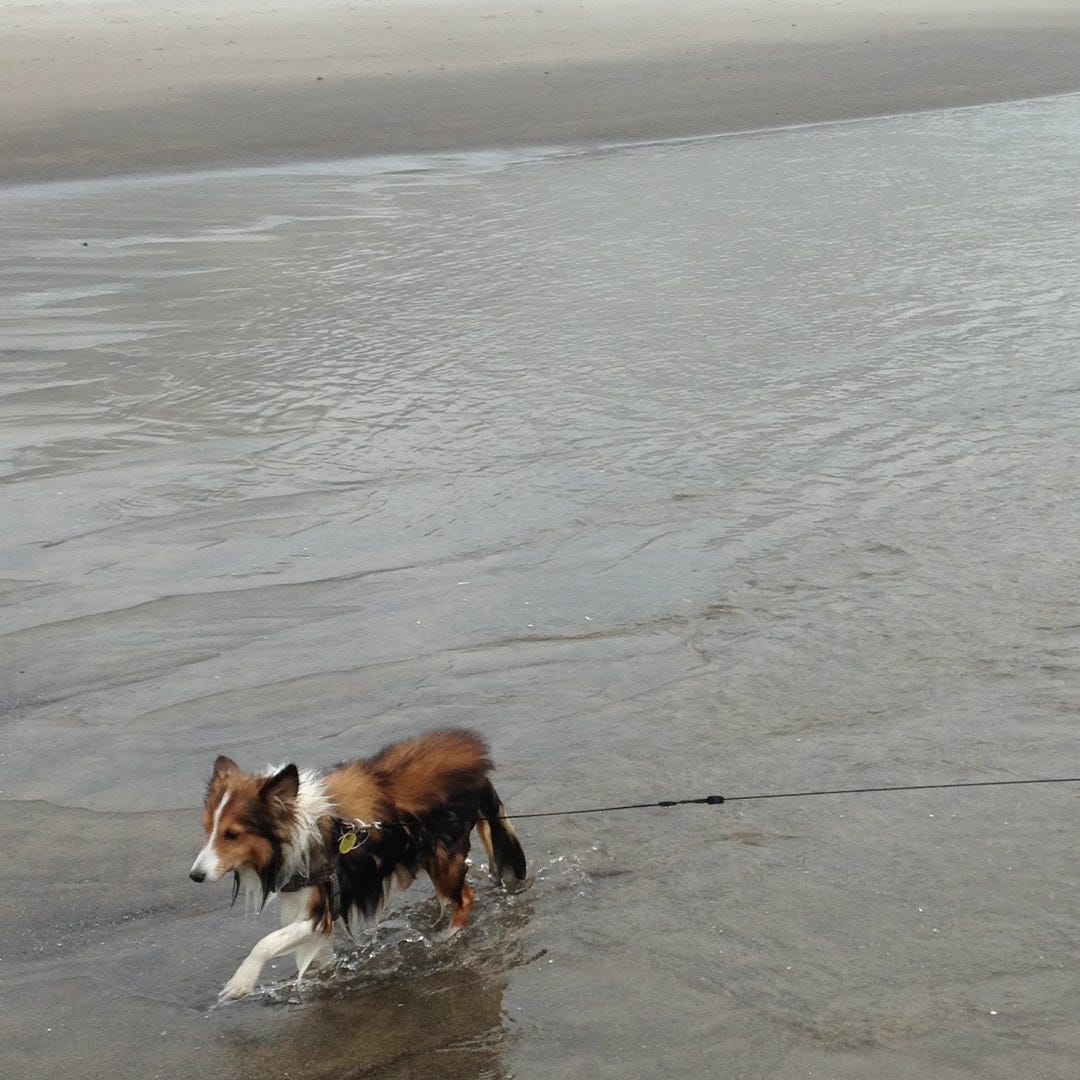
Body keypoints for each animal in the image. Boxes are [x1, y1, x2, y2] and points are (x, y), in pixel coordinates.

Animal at [190, 730, 527, 997]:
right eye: (207, 829)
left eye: (232, 834)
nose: (195, 875)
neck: (297, 830)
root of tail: (479, 772)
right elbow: (315, 953)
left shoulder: (321, 907)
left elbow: (266, 942)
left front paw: (240, 982)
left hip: (443, 859)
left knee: (465, 899)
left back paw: (446, 937)